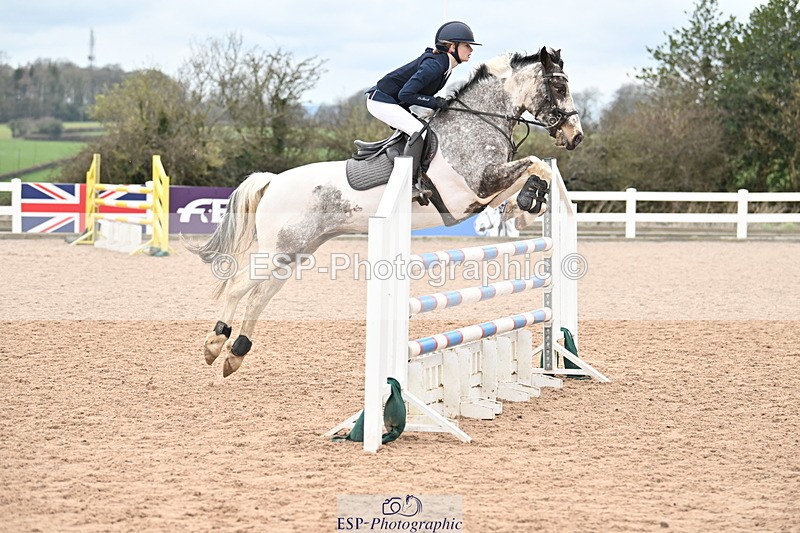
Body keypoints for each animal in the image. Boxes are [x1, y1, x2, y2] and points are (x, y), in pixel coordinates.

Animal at [187, 46, 583, 377]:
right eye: (558, 86)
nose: (575, 136)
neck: (478, 121)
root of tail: (272, 182)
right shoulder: (476, 187)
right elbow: (536, 164)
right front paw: (528, 204)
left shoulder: (485, 190)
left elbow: (533, 174)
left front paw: (525, 208)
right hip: (277, 250)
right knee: (238, 287)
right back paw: (214, 345)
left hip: (295, 252)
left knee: (258, 296)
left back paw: (236, 353)